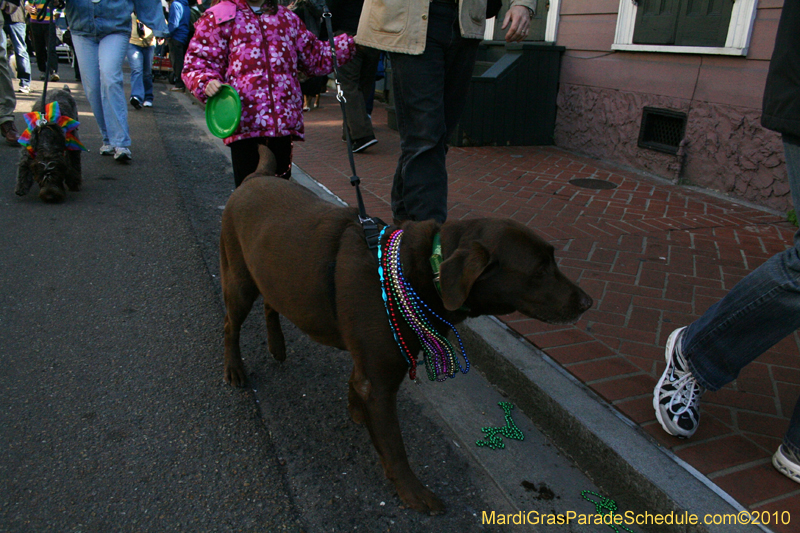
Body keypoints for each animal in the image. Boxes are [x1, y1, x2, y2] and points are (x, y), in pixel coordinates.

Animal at [222, 161, 592, 512]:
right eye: (539, 270)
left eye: (553, 259)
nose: (587, 302)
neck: (427, 269)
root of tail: (255, 177)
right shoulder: (380, 382)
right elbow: (395, 447)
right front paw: (413, 492)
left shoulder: (369, 366)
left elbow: (356, 388)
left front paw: (357, 411)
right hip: (239, 281)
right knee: (230, 327)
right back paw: (235, 369)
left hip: (272, 276)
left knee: (271, 303)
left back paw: (277, 346)